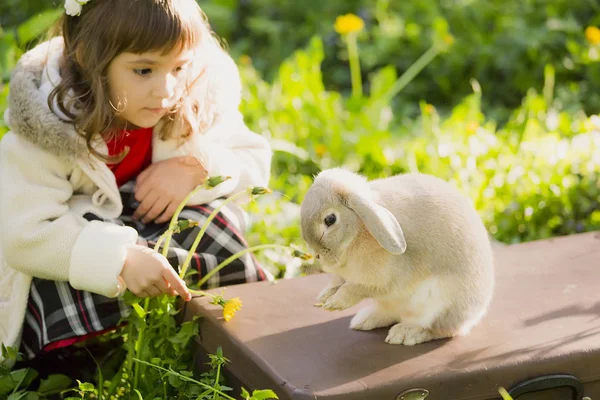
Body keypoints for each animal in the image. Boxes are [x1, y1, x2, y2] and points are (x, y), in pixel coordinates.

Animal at [298, 167, 492, 346]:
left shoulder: (384, 282)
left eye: (330, 219)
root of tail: (474, 315)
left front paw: (336, 302)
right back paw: (364, 319)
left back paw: (406, 333)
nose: (317, 255)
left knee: (440, 329)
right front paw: (324, 296)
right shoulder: (344, 276)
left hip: (439, 305)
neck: (359, 230)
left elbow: (354, 289)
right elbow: (337, 282)